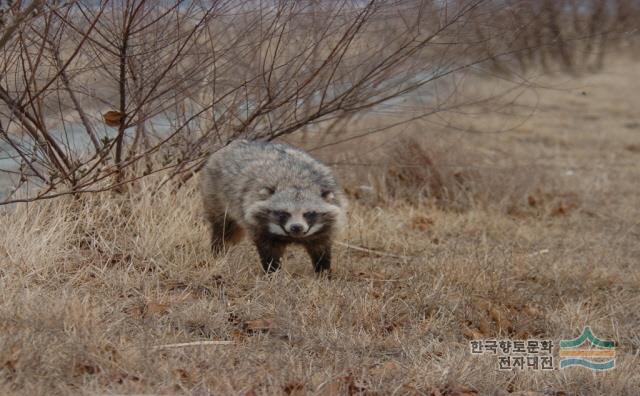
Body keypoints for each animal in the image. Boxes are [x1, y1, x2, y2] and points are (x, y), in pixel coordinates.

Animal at [202, 141, 348, 274]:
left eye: (309, 213)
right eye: (284, 213)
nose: (296, 227)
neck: (296, 182)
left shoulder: (326, 228)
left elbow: (321, 250)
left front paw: (323, 272)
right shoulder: (259, 225)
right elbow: (269, 252)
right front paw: (272, 272)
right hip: (215, 195)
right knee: (223, 229)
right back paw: (218, 251)